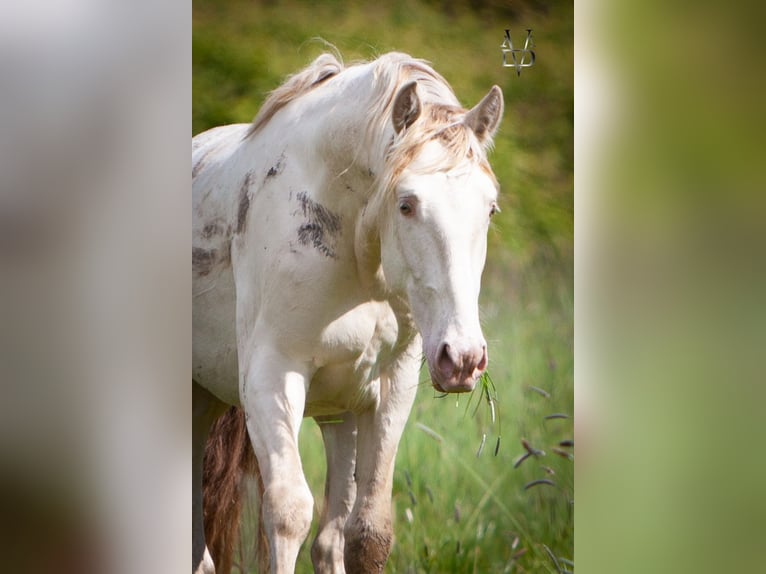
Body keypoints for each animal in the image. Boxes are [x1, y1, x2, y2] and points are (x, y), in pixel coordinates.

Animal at [192, 51, 504, 572]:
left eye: (490, 209)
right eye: (407, 204)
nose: (462, 358)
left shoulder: (391, 388)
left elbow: (366, 533)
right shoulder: (271, 379)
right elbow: (288, 514)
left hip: (318, 412)